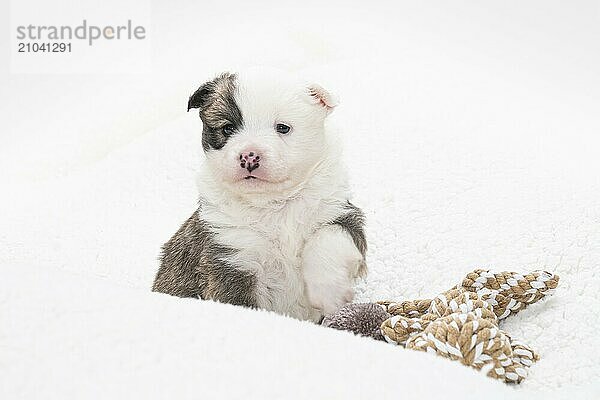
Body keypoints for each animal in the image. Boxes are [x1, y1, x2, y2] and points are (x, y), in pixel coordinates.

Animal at [151, 69, 366, 322]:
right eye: (227, 128)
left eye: (282, 127)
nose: (249, 156)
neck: (274, 204)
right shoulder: (231, 259)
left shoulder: (341, 213)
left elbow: (327, 237)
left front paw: (330, 292)